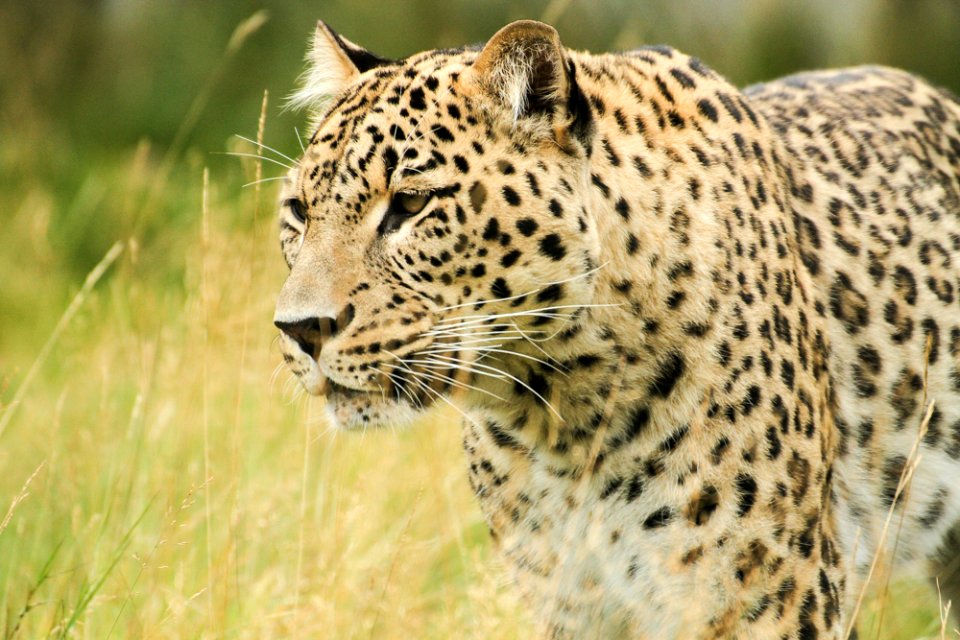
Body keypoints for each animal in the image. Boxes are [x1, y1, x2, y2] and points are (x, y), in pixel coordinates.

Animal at [270, 20, 960, 640]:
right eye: (299, 211)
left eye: (412, 205)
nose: (302, 329)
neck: (560, 419)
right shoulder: (568, 603)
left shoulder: (773, 596)